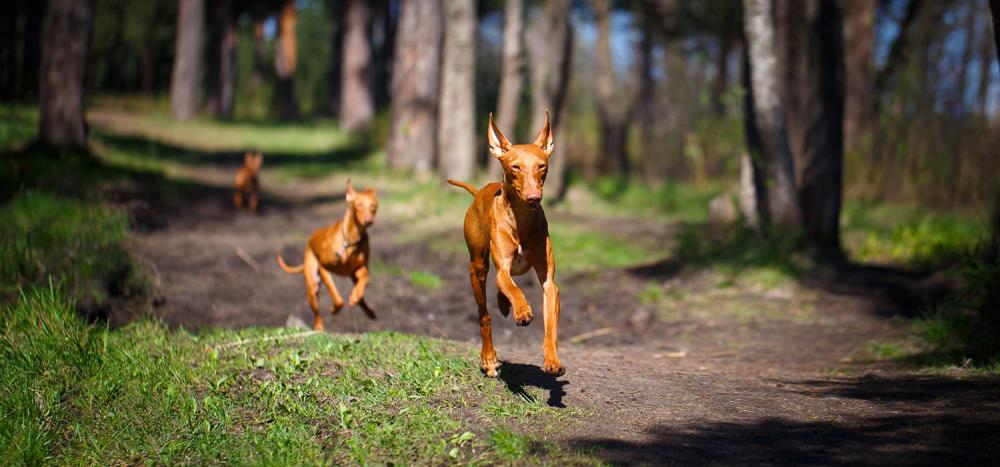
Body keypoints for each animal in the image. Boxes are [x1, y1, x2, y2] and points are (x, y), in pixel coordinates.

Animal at [276, 177, 376, 330]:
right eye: (359, 205)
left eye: (373, 206)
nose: (368, 220)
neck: (351, 240)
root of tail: (310, 240)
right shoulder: (324, 268)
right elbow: (336, 297)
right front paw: (334, 309)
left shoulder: (359, 269)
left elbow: (365, 278)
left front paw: (356, 296)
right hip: (313, 284)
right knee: (317, 311)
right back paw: (318, 327)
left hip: (351, 277)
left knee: (361, 297)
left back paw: (366, 308)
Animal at [450, 111, 568, 378]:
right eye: (515, 167)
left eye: (541, 166)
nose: (534, 197)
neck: (521, 220)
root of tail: (479, 192)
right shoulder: (502, 266)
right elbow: (513, 289)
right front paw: (522, 310)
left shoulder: (549, 283)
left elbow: (550, 328)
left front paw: (553, 361)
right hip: (478, 268)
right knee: (484, 314)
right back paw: (489, 358)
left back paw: (504, 304)